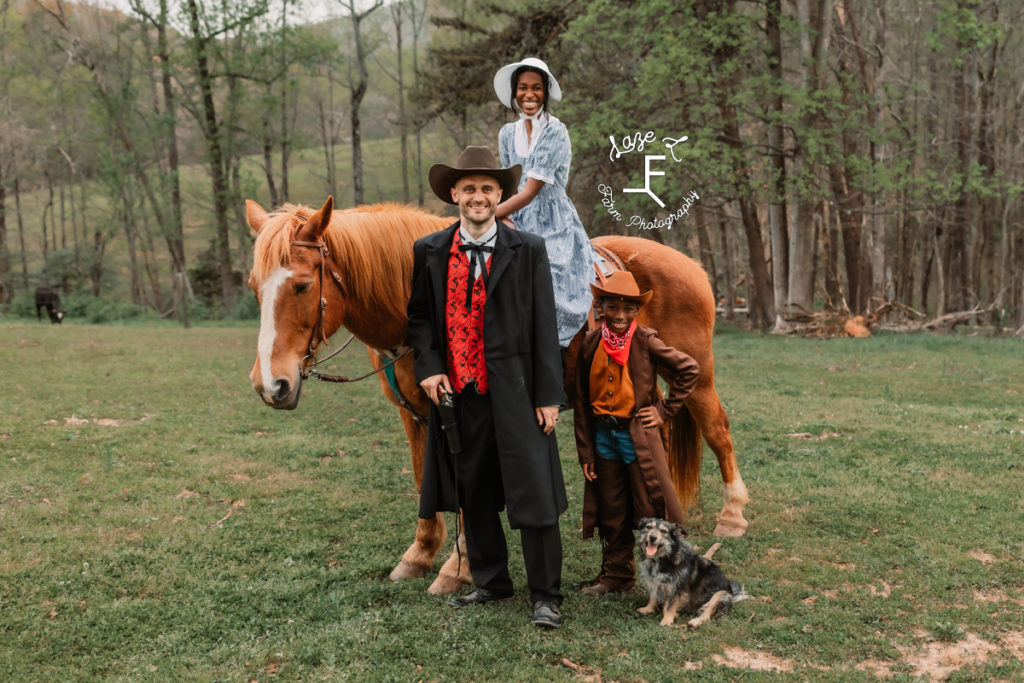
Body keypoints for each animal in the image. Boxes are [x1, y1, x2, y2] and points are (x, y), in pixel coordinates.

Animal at [243, 196, 749, 593]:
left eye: (303, 284)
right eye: (253, 286)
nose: (271, 384)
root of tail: (691, 266)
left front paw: (456, 569)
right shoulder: (416, 415)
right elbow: (425, 482)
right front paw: (420, 554)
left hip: (698, 376)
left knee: (718, 430)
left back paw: (733, 515)